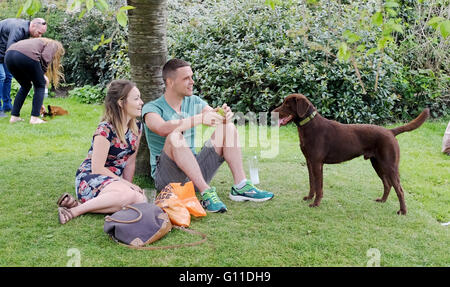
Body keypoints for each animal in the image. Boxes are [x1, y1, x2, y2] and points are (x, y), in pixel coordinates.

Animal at [272, 93, 430, 215]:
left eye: (287, 104)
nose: (272, 112)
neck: (309, 126)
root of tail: (390, 131)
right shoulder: (309, 161)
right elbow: (312, 183)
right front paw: (309, 197)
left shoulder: (317, 163)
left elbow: (319, 186)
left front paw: (316, 203)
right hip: (377, 163)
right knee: (387, 184)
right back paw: (382, 200)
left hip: (389, 165)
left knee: (399, 189)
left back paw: (402, 211)